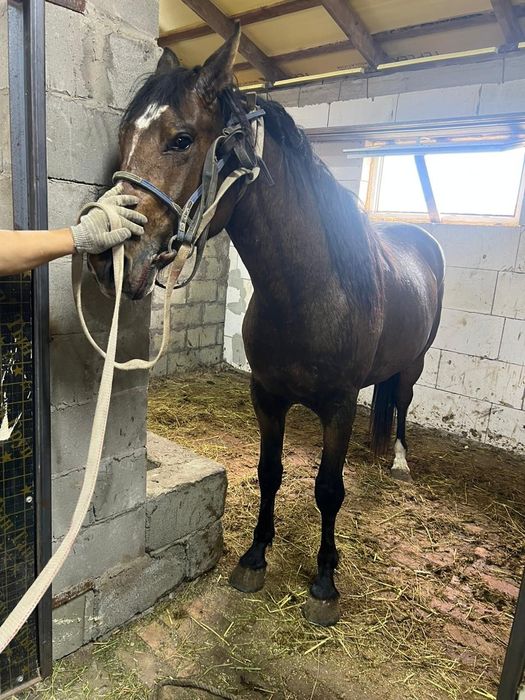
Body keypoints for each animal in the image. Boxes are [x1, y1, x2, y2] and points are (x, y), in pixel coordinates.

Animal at [88, 27, 445, 626]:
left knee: (402, 404)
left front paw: (324, 581)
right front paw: (255, 555)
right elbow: (269, 471)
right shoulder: (267, 397)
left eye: (181, 139)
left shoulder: (339, 407)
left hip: (416, 364)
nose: (107, 257)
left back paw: (397, 460)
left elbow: (328, 489)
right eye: (123, 135)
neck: (307, 293)